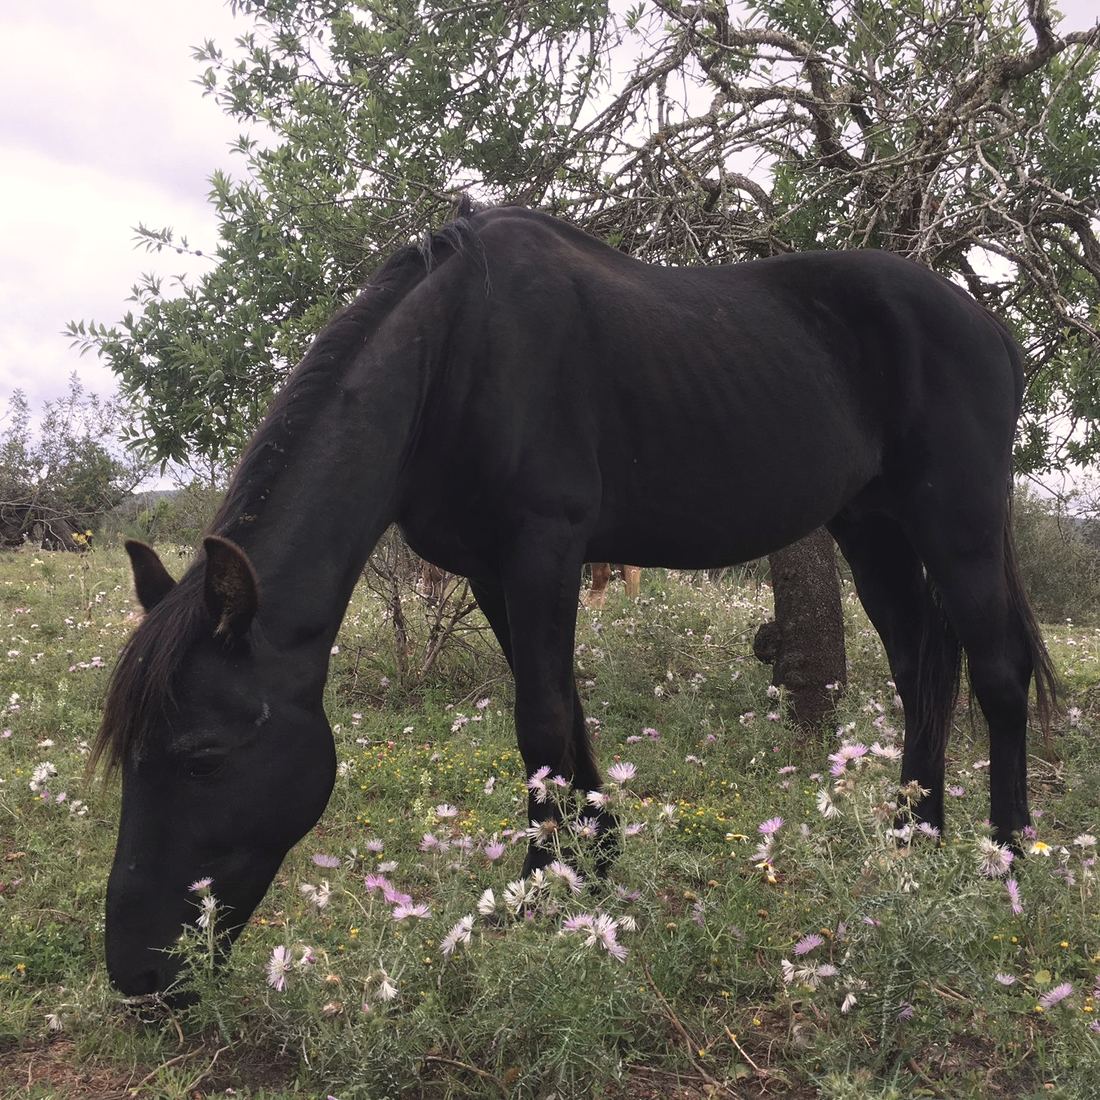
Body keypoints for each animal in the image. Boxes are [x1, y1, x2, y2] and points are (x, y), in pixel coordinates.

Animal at [94, 204, 1056, 998]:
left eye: (203, 757)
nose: (141, 976)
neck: (454, 354)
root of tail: (990, 328)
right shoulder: (494, 569)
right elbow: (564, 716)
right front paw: (591, 866)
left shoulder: (544, 548)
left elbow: (542, 721)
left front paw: (537, 894)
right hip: (872, 525)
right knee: (921, 662)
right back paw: (911, 840)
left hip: (959, 523)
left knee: (997, 673)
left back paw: (1006, 856)